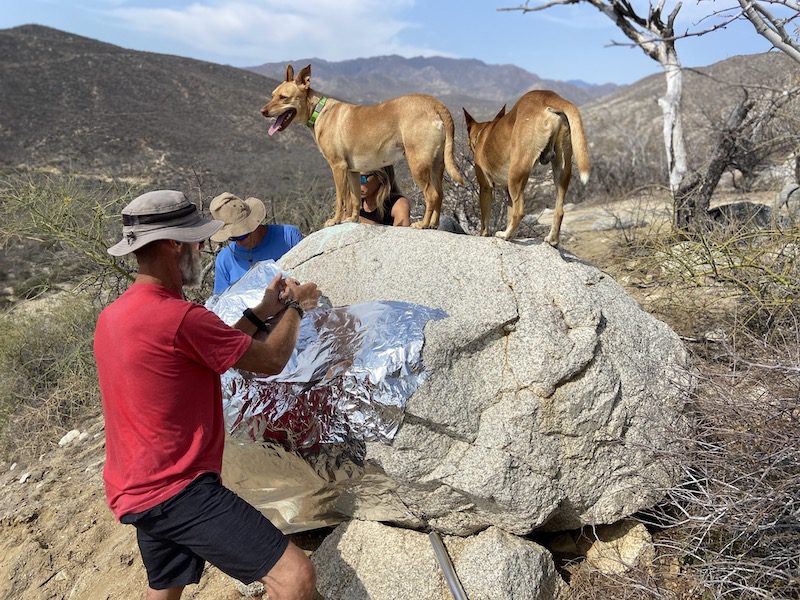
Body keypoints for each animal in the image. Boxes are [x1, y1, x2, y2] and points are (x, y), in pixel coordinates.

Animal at [262, 63, 462, 227]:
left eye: (283, 97)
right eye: (272, 95)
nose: (262, 111)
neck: (318, 111)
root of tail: (435, 104)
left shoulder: (338, 167)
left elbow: (341, 199)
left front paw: (335, 220)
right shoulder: (353, 171)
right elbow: (355, 198)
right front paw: (352, 219)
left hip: (418, 164)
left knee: (431, 195)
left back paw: (423, 224)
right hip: (436, 166)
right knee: (440, 194)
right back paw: (433, 224)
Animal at [462, 90, 588, 245]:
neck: (483, 133)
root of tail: (548, 96)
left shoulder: (485, 187)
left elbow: (485, 220)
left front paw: (484, 235)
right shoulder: (508, 192)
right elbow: (509, 213)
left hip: (516, 172)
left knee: (520, 212)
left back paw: (505, 235)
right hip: (562, 170)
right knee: (559, 211)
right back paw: (552, 239)